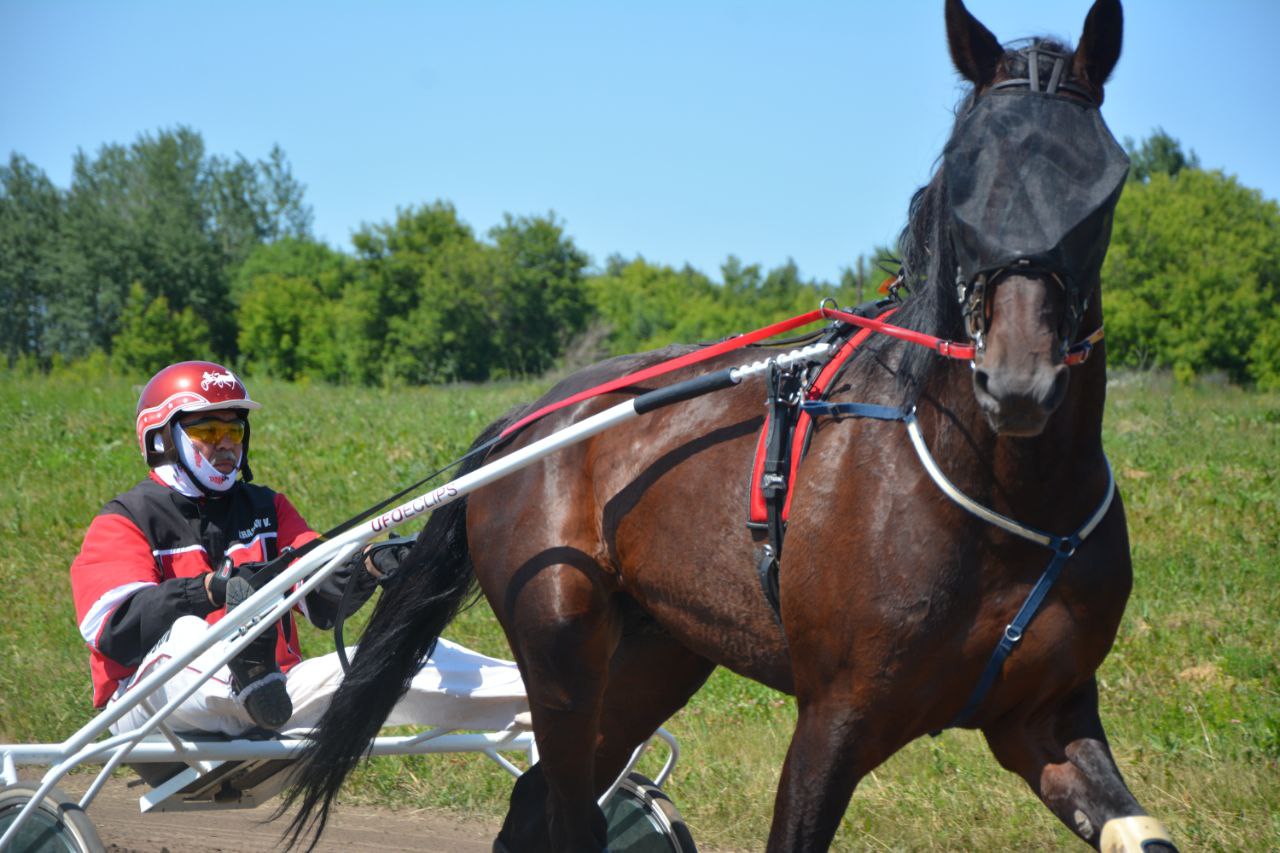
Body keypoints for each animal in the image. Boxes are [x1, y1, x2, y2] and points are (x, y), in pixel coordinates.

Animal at [285, 0, 1172, 845]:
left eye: (1103, 182)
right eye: (964, 172)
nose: (1019, 380)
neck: (999, 494)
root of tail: (529, 419)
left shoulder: (1044, 718)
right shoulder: (836, 717)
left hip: (658, 650)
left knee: (537, 803)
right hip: (561, 646)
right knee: (565, 809)